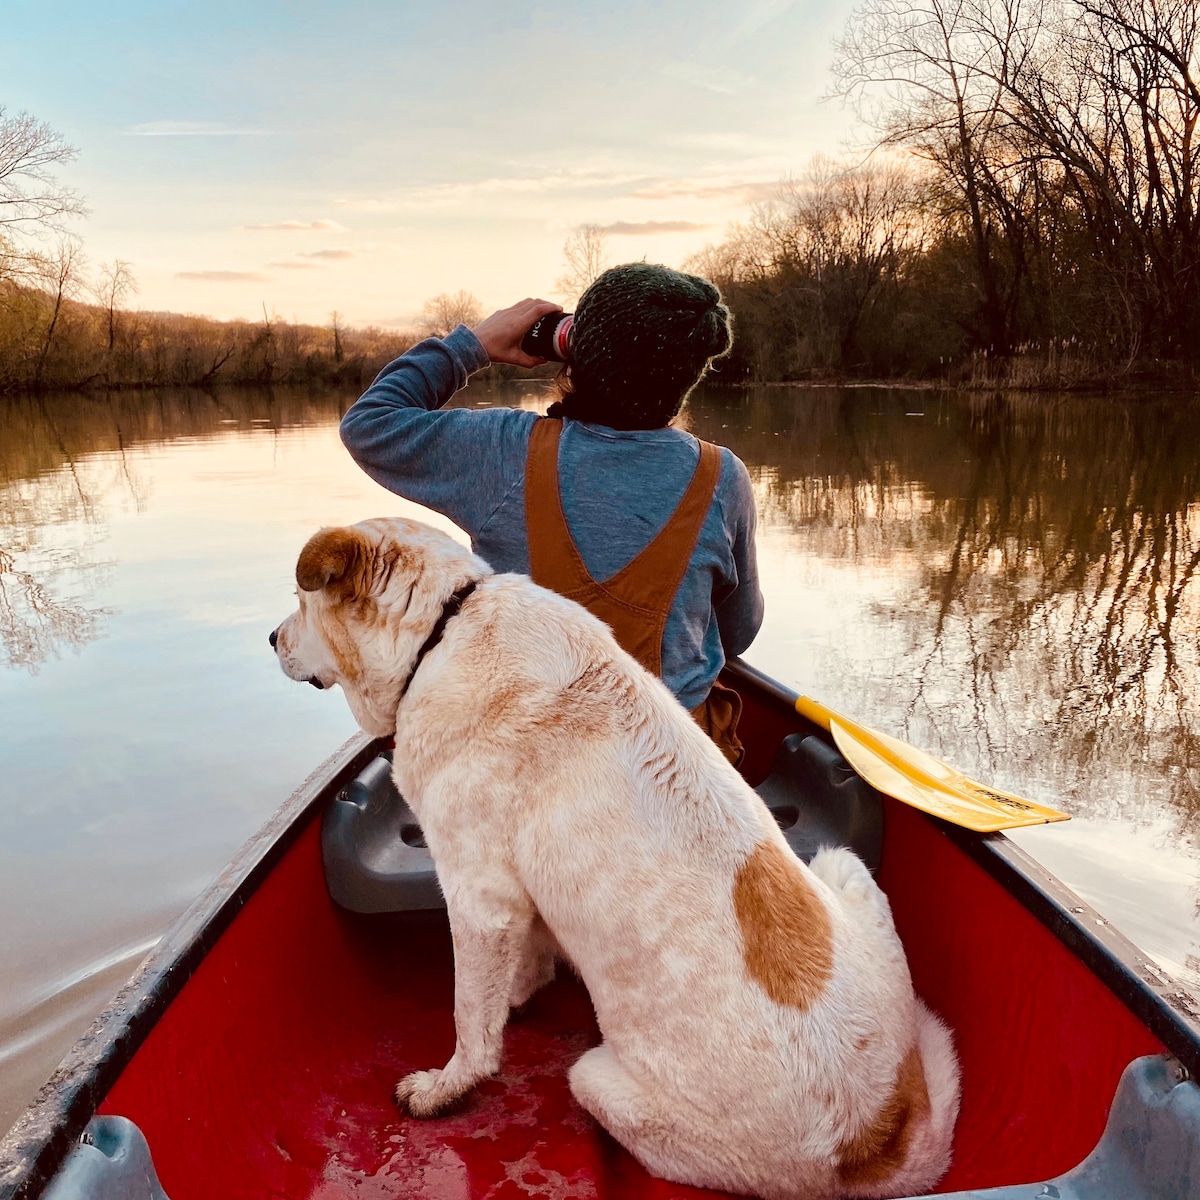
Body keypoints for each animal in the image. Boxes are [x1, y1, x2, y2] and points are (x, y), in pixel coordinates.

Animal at [274, 518, 964, 1200]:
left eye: (301, 601)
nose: (272, 637)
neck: (442, 632)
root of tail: (877, 1144)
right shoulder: (516, 902)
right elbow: (519, 966)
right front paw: (518, 994)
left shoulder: (479, 898)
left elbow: (471, 1021)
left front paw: (446, 1087)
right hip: (839, 863)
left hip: (597, 1079)